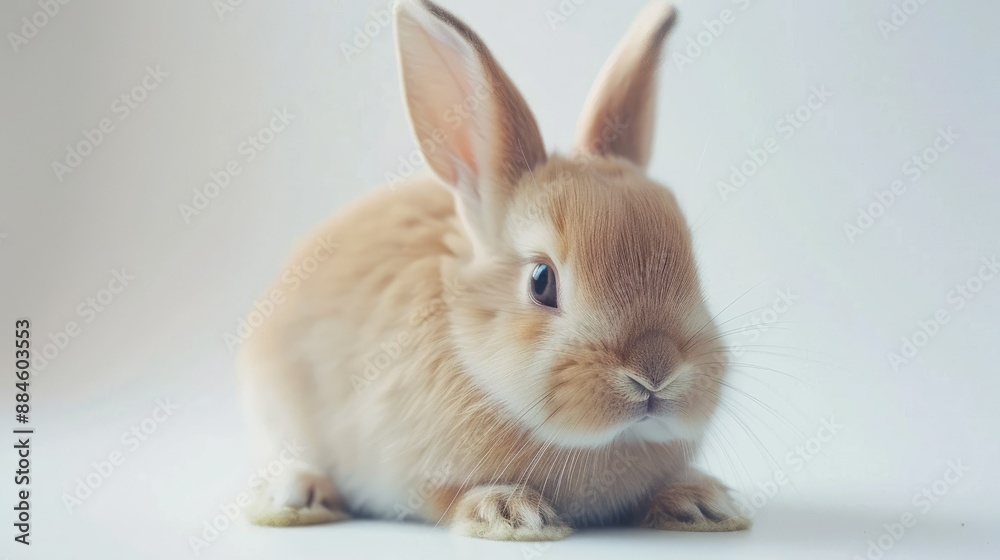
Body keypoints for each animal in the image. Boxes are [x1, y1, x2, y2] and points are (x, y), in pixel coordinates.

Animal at [237, 0, 750, 541]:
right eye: (541, 281)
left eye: (694, 264)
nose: (656, 371)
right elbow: (449, 498)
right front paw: (511, 513)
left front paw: (703, 502)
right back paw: (298, 496)